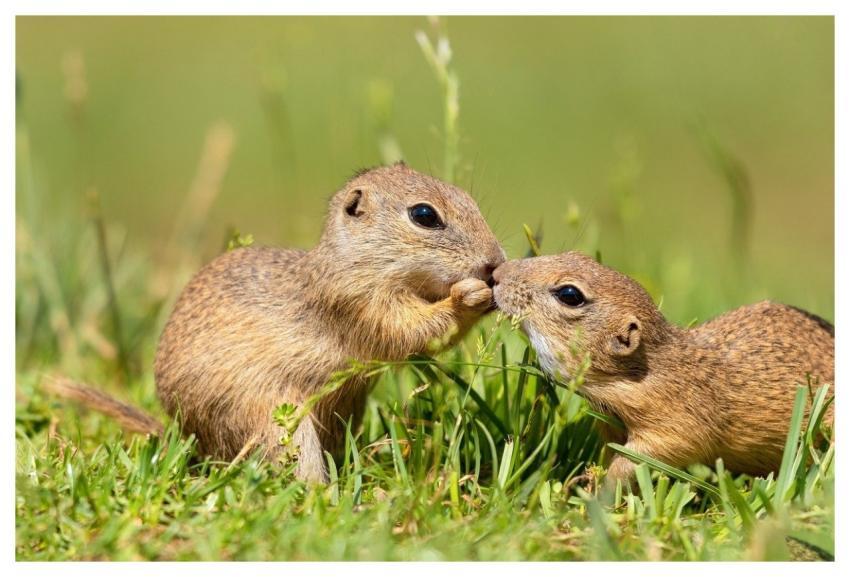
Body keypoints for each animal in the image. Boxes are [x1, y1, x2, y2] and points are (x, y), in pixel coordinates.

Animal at [51, 163, 505, 482]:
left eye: (467, 197)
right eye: (424, 215)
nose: (494, 263)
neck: (356, 261)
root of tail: (195, 444)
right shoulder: (360, 304)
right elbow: (412, 331)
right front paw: (470, 296)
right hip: (275, 421)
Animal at [492, 251, 834, 484]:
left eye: (569, 294)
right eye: (576, 255)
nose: (496, 273)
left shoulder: (676, 423)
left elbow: (644, 456)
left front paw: (599, 488)